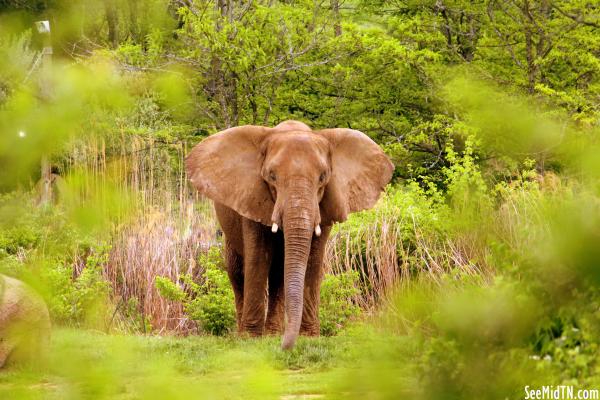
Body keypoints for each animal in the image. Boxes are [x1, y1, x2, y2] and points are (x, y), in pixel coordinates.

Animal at [188, 120, 394, 348]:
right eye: (272, 176)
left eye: (323, 177)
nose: (285, 346)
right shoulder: (252, 197)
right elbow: (258, 259)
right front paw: (251, 339)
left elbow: (313, 262)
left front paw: (309, 337)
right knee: (237, 271)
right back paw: (245, 333)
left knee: (279, 273)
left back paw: (272, 333)